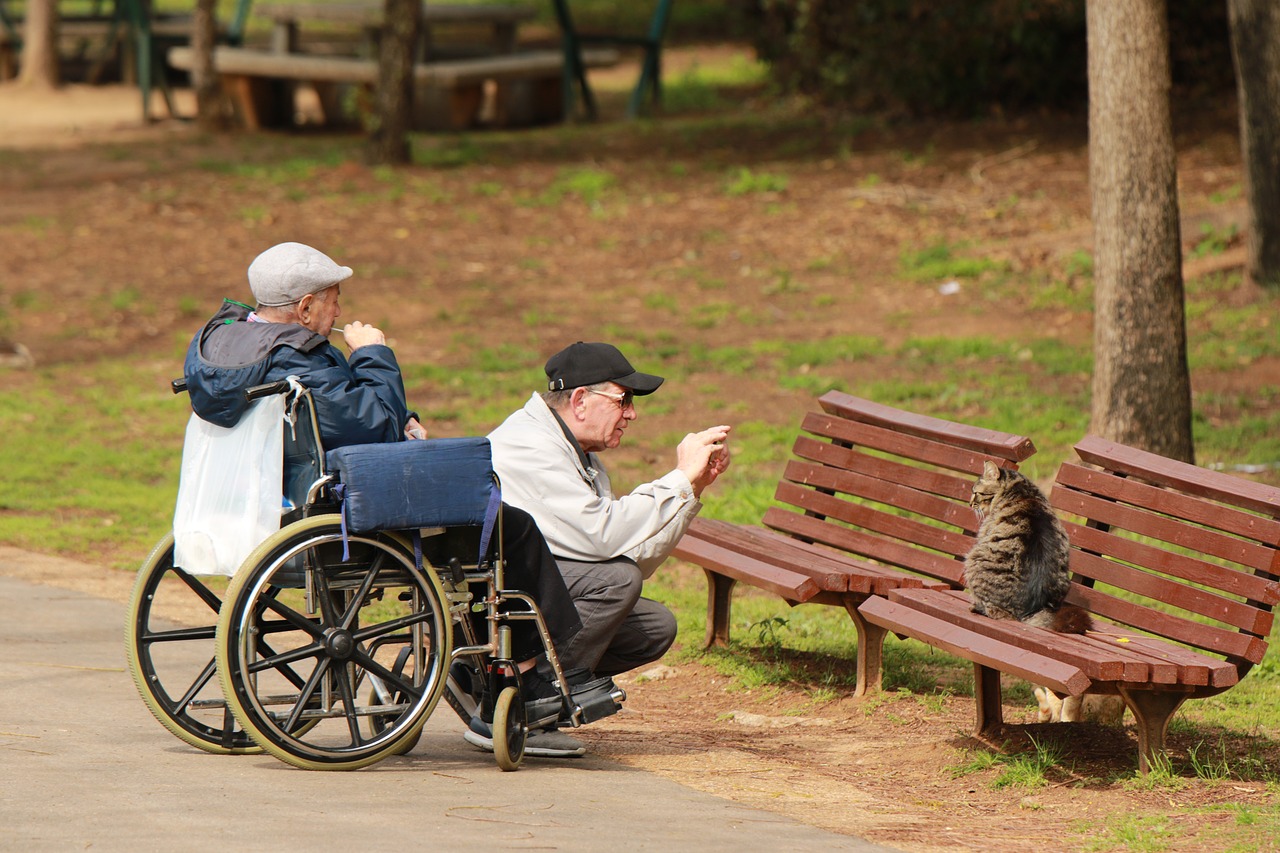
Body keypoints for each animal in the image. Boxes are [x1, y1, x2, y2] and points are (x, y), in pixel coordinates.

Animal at [962, 458, 1085, 630]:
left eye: (976, 493)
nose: (969, 503)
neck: (1023, 492)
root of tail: (1025, 614)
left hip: (973, 558)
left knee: (993, 611)